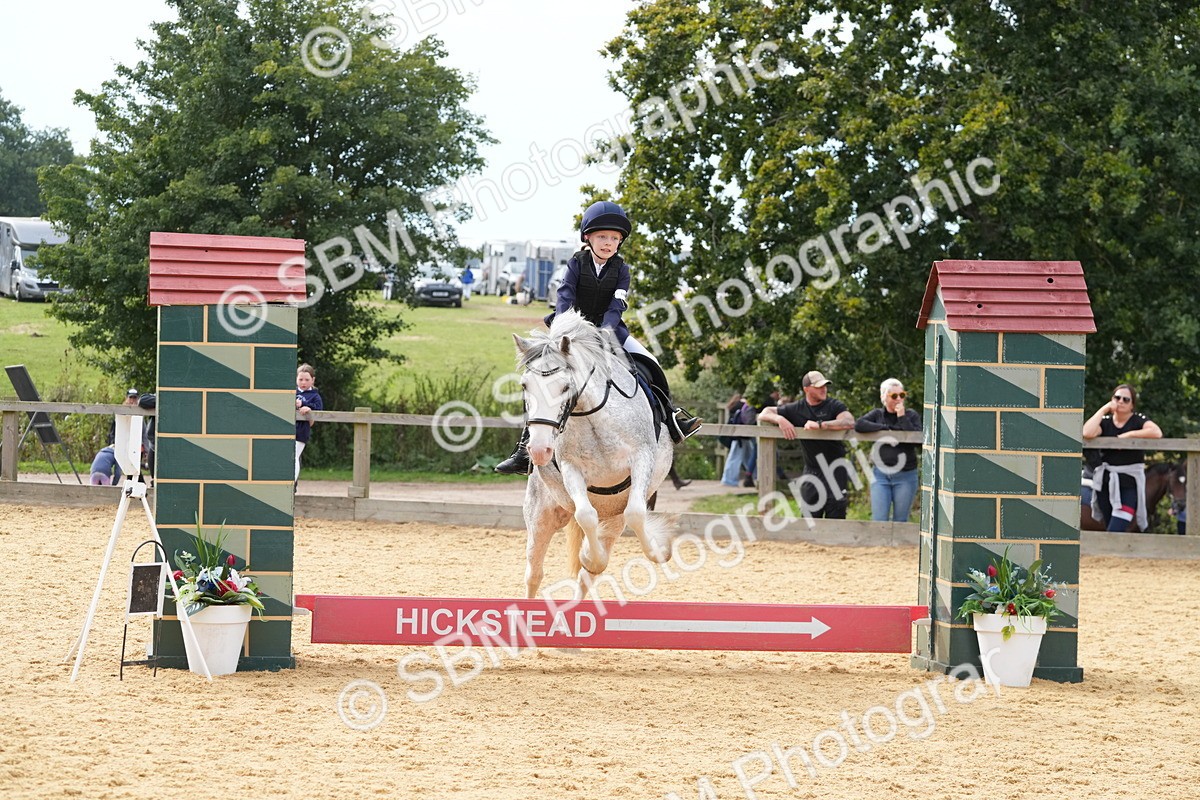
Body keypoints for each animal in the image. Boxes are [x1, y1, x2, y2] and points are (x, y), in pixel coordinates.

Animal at [514, 310, 676, 598]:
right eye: (525, 385)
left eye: (565, 387)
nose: (539, 450)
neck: (590, 416)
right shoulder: (571, 469)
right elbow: (586, 516)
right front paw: (591, 556)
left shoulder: (642, 458)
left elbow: (636, 514)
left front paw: (659, 549)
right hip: (541, 514)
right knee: (534, 574)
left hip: (613, 518)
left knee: (586, 576)